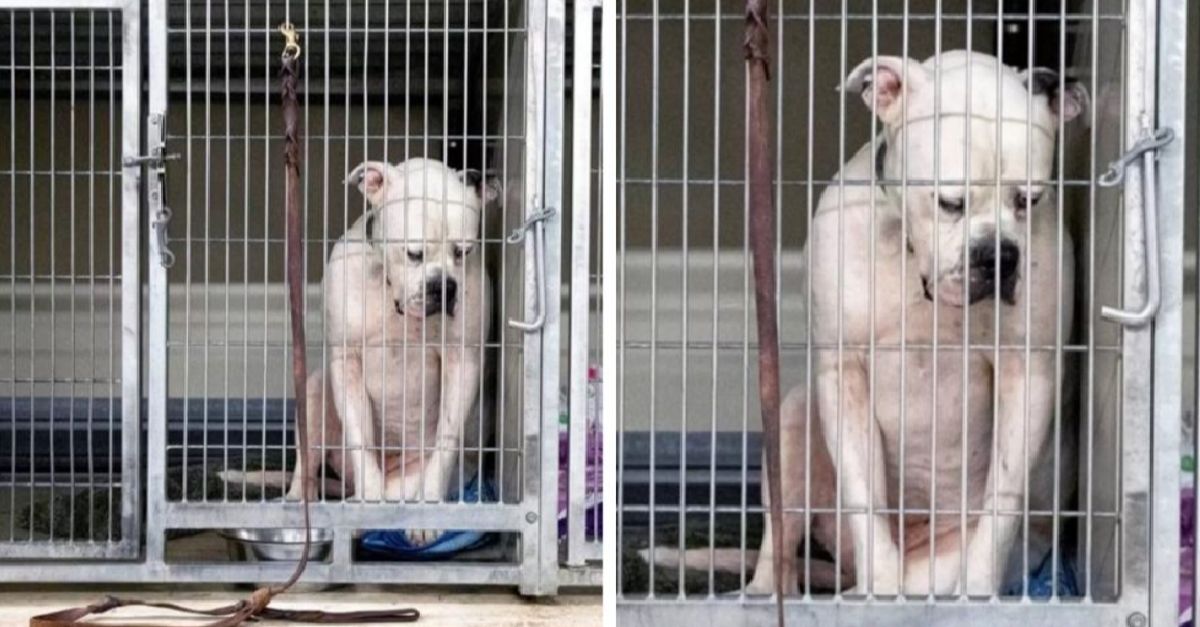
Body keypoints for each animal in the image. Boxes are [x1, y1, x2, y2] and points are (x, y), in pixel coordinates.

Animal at [280, 158, 496, 542]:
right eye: (413, 253)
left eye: (463, 252)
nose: (444, 287)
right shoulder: (346, 362)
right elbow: (361, 439)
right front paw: (369, 503)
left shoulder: (463, 362)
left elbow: (446, 440)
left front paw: (427, 518)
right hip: (315, 389)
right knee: (310, 466)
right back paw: (303, 505)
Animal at [734, 51, 1094, 593]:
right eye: (949, 203)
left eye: (1028, 200)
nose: (997, 256)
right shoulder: (845, 373)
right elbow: (867, 499)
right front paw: (880, 595)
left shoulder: (1028, 375)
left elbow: (1001, 506)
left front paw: (979, 595)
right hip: (795, 415)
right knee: (784, 536)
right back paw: (769, 592)